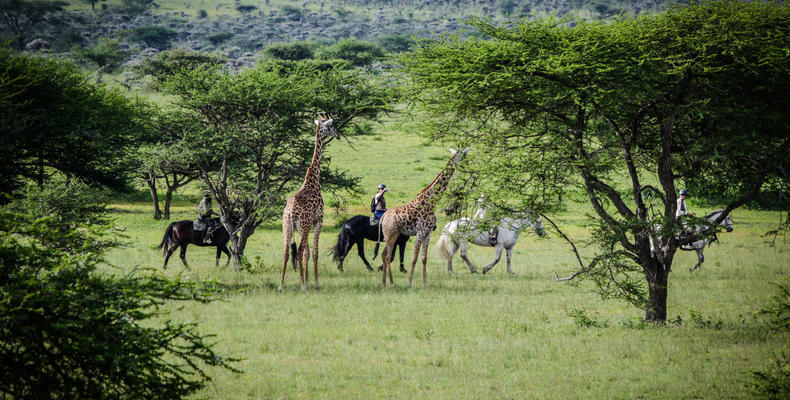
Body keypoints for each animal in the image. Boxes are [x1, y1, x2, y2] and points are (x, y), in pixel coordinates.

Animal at [280, 114, 338, 292]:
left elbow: (306, 253)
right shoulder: (318, 220)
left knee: (286, 252)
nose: (338, 135)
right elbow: (314, 252)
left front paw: (307, 279)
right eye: (331, 126)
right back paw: (303, 286)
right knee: (298, 251)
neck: (313, 181)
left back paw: (281, 285)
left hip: (288, 226)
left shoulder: (304, 226)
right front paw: (315, 283)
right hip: (304, 226)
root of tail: (291, 211)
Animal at [378, 147, 468, 288]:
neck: (431, 203)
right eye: (462, 156)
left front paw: (426, 284)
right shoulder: (420, 232)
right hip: (392, 234)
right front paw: (409, 284)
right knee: (387, 257)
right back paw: (392, 284)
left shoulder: (428, 233)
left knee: (383, 255)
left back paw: (384, 283)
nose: (465, 165)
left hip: (389, 235)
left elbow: (424, 258)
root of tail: (383, 217)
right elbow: (414, 258)